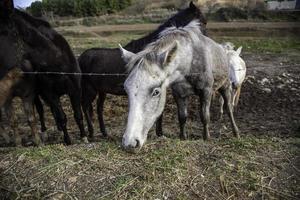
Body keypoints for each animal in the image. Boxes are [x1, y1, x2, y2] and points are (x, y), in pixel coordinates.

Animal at [0, 0, 86, 145]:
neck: (58, 63)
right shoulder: (50, 93)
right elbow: (62, 117)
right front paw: (67, 140)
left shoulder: (75, 89)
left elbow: (78, 115)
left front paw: (84, 138)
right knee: (41, 110)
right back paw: (45, 133)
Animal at [78, 1, 207, 139]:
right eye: (203, 22)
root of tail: (80, 57)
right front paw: (159, 133)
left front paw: (159, 132)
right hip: (90, 90)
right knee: (85, 107)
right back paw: (90, 134)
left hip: (102, 91)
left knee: (98, 109)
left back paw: (104, 133)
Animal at [119, 20, 239, 152]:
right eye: (126, 89)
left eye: (156, 92)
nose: (130, 143)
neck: (189, 60)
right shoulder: (179, 93)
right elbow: (182, 116)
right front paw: (183, 137)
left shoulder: (206, 90)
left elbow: (205, 116)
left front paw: (206, 137)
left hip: (225, 86)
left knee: (229, 108)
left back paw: (236, 132)